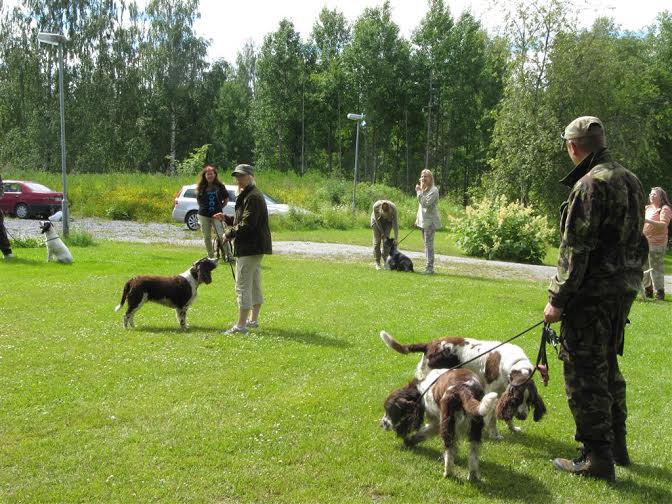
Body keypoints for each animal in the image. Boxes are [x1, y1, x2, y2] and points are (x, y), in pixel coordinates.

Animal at [380, 331, 546, 440]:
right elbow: (492, 417)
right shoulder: (492, 392)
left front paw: (513, 428)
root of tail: (430, 344)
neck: (516, 366)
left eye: (529, 401)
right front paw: (495, 435)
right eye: (517, 399)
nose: (523, 416)